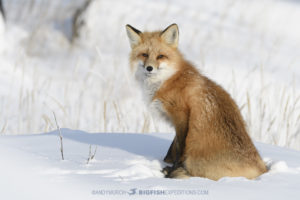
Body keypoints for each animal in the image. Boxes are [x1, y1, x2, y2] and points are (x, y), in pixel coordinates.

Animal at [125, 23, 266, 181]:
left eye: (160, 56)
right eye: (144, 55)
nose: (149, 68)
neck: (167, 80)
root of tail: (262, 170)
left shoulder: (182, 116)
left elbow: (179, 148)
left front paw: (171, 168)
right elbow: (172, 147)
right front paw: (166, 161)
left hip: (195, 158)